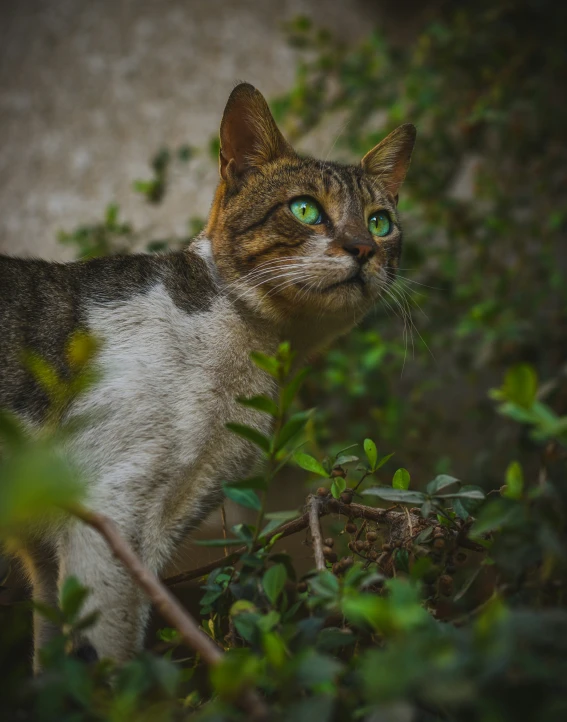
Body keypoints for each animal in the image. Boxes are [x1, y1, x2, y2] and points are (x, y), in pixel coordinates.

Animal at [0, 81, 418, 668]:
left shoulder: (105, 536)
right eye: (306, 210)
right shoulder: (109, 512)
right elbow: (104, 661)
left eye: (380, 222)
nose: (362, 247)